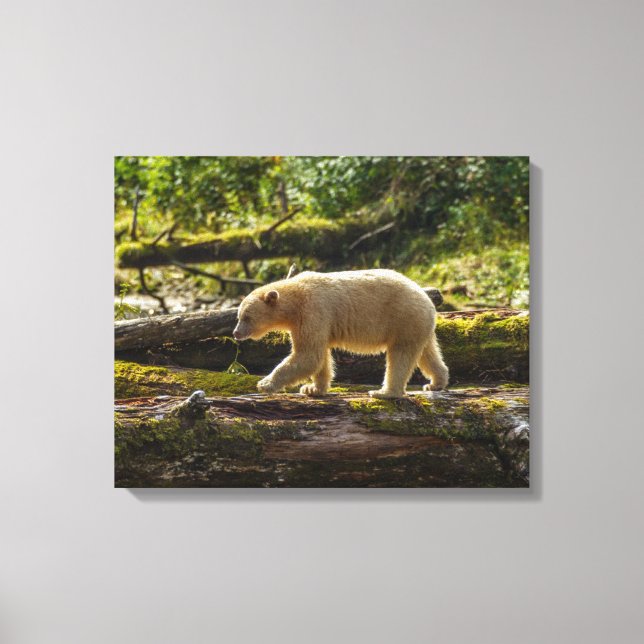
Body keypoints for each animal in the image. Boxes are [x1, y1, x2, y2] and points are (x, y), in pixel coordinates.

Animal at [232, 269, 449, 399]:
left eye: (247, 317)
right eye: (238, 316)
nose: (236, 333)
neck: (295, 298)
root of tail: (427, 299)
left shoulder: (313, 310)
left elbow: (308, 355)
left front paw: (264, 384)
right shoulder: (309, 321)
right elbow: (319, 357)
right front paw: (313, 389)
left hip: (403, 318)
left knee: (400, 356)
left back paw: (384, 392)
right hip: (418, 325)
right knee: (427, 353)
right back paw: (435, 383)